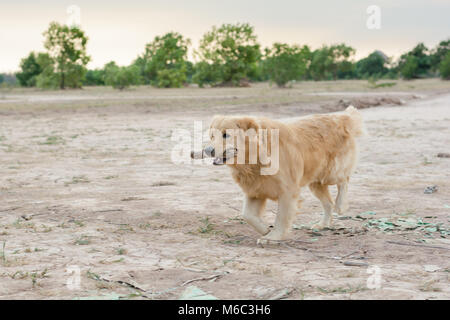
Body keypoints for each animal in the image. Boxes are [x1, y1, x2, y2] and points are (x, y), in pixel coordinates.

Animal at [192, 106, 364, 244]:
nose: (208, 150)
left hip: (330, 172)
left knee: (344, 180)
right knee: (328, 202)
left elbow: (281, 217)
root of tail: (340, 117)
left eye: (226, 135)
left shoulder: (287, 191)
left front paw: (273, 237)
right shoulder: (255, 190)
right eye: (212, 136)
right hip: (315, 182)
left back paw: (341, 205)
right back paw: (322, 224)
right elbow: (247, 215)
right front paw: (265, 230)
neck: (254, 158)